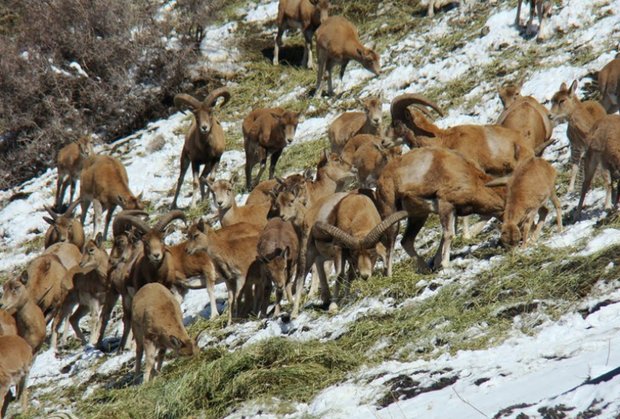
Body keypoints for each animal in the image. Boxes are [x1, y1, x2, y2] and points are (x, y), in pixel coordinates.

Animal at [376, 148, 506, 276]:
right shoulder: (446, 205)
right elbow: (449, 235)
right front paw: (446, 265)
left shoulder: (452, 212)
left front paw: (438, 263)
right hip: (392, 216)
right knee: (391, 245)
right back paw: (390, 276)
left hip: (419, 217)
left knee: (406, 241)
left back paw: (425, 269)